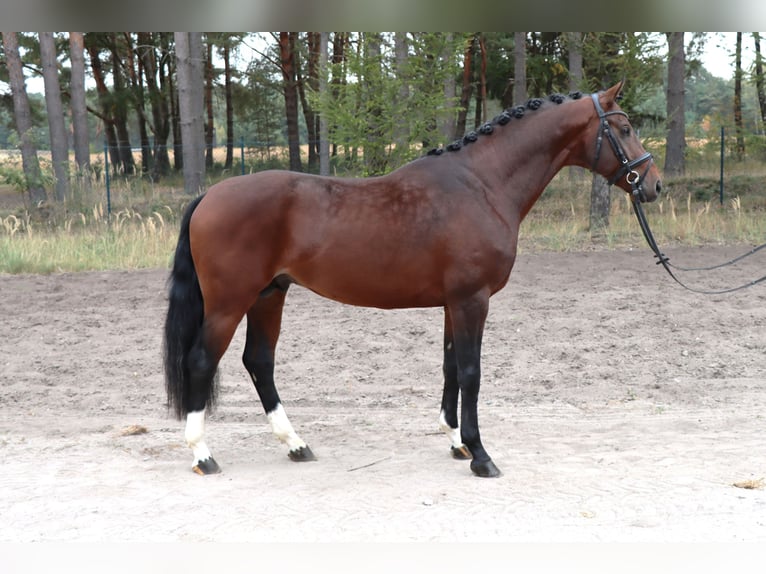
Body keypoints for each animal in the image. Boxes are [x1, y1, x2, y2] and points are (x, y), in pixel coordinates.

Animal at [163, 80, 662, 478]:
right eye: (622, 128)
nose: (653, 184)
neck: (482, 184)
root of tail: (209, 195)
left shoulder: (453, 303)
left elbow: (450, 368)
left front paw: (457, 442)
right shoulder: (472, 300)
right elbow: (471, 372)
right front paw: (481, 455)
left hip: (270, 294)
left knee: (259, 361)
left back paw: (296, 444)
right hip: (230, 302)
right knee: (202, 361)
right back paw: (202, 454)